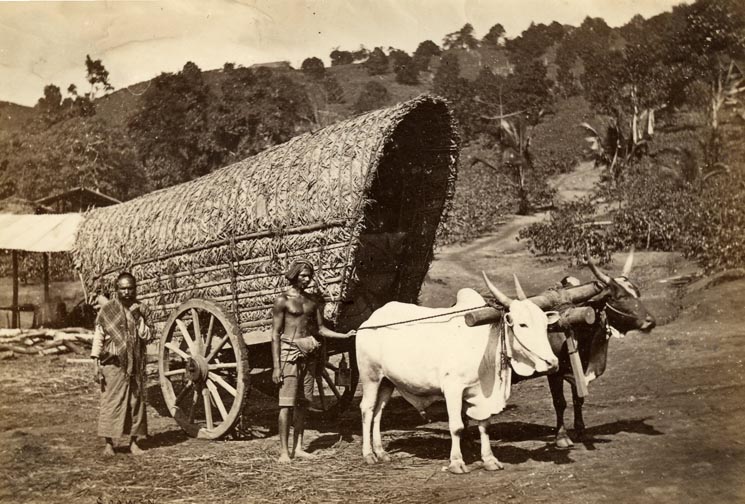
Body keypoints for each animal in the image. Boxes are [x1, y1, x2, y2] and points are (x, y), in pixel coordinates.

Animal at [356, 273, 560, 474]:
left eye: (545, 325)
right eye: (522, 325)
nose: (552, 362)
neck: (486, 343)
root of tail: (369, 321)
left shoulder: (482, 393)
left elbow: (484, 426)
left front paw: (489, 459)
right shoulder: (452, 389)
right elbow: (457, 426)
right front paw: (456, 462)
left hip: (387, 381)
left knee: (379, 411)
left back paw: (381, 452)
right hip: (370, 376)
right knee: (367, 409)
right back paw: (369, 454)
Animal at [524, 250, 657, 449]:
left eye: (637, 293)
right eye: (619, 296)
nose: (650, 321)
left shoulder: (580, 367)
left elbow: (578, 399)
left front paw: (581, 431)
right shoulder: (554, 372)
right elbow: (559, 402)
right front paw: (562, 436)